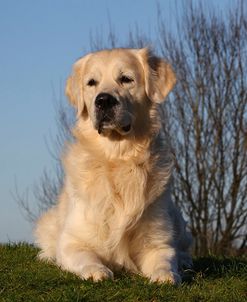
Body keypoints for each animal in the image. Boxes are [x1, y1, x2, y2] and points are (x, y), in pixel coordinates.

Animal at [34, 47, 193, 284]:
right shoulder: (72, 240)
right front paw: (97, 270)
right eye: (92, 82)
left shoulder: (158, 241)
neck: (116, 160)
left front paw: (165, 275)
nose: (104, 101)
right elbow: (85, 255)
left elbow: (164, 259)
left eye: (126, 79)